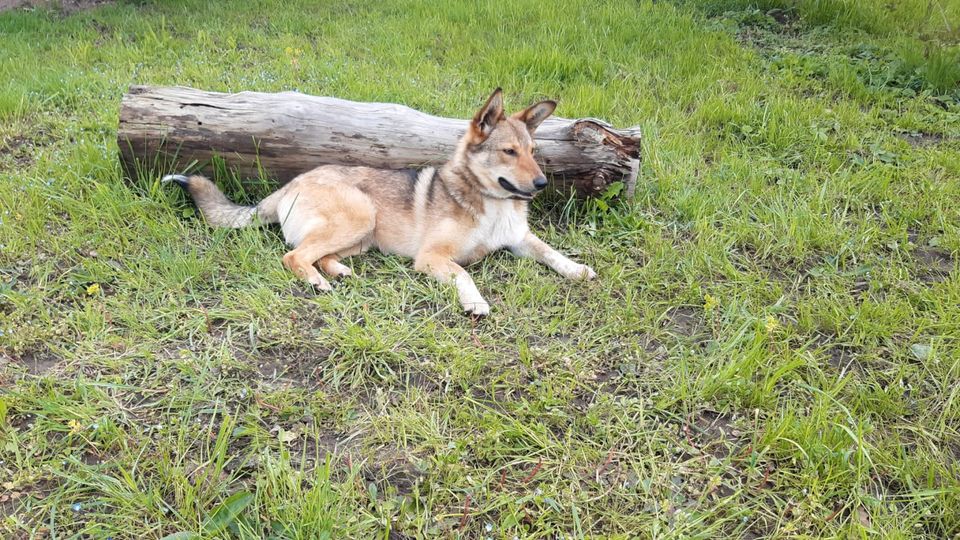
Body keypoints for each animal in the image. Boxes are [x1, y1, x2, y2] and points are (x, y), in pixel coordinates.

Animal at [169, 89, 596, 316]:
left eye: (533, 152)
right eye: (509, 152)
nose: (541, 183)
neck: (490, 201)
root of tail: (290, 185)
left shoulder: (521, 239)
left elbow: (552, 252)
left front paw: (577, 270)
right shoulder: (433, 258)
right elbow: (464, 273)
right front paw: (475, 301)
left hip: (362, 234)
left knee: (318, 253)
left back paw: (338, 271)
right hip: (360, 215)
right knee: (294, 256)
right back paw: (317, 281)